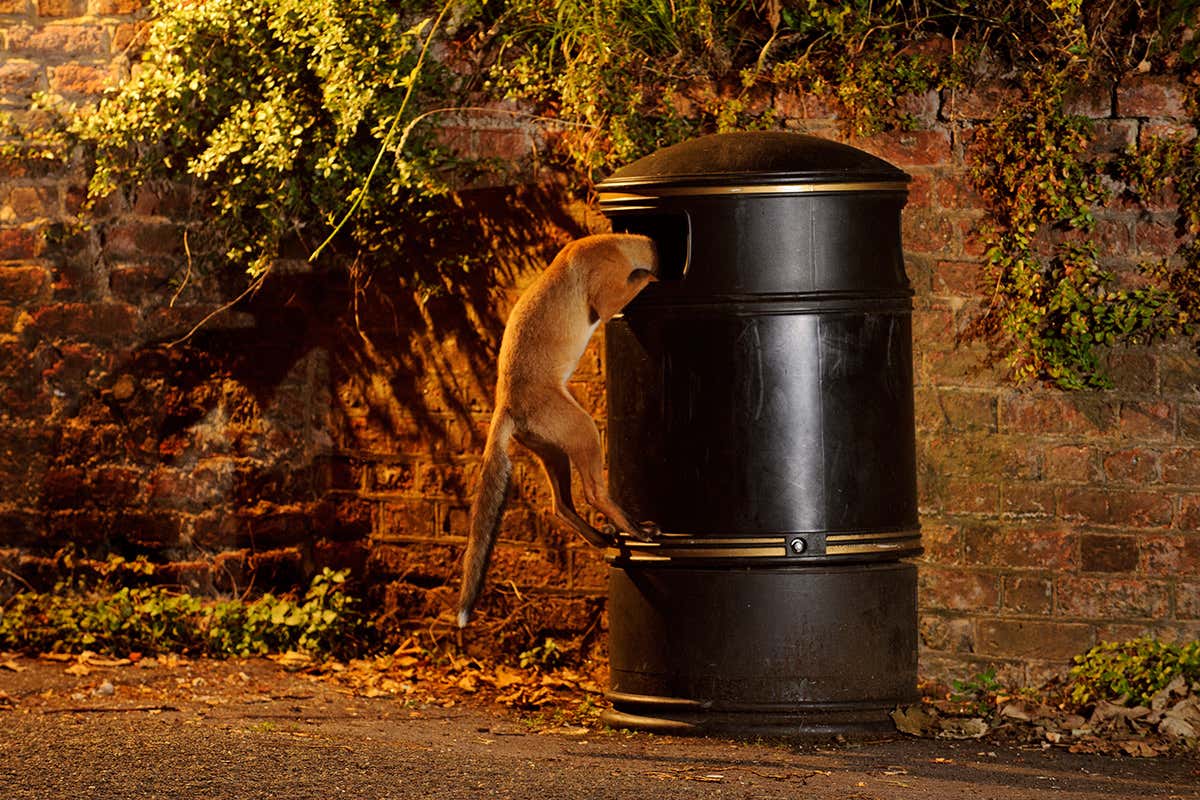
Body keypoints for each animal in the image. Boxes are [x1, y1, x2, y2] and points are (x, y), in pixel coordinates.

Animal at [456, 233, 660, 628]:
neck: (616, 243)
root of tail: (505, 404)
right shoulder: (607, 298)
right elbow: (638, 281)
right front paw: (652, 274)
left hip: (555, 453)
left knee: (560, 506)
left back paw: (603, 538)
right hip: (586, 431)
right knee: (594, 494)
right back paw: (636, 531)